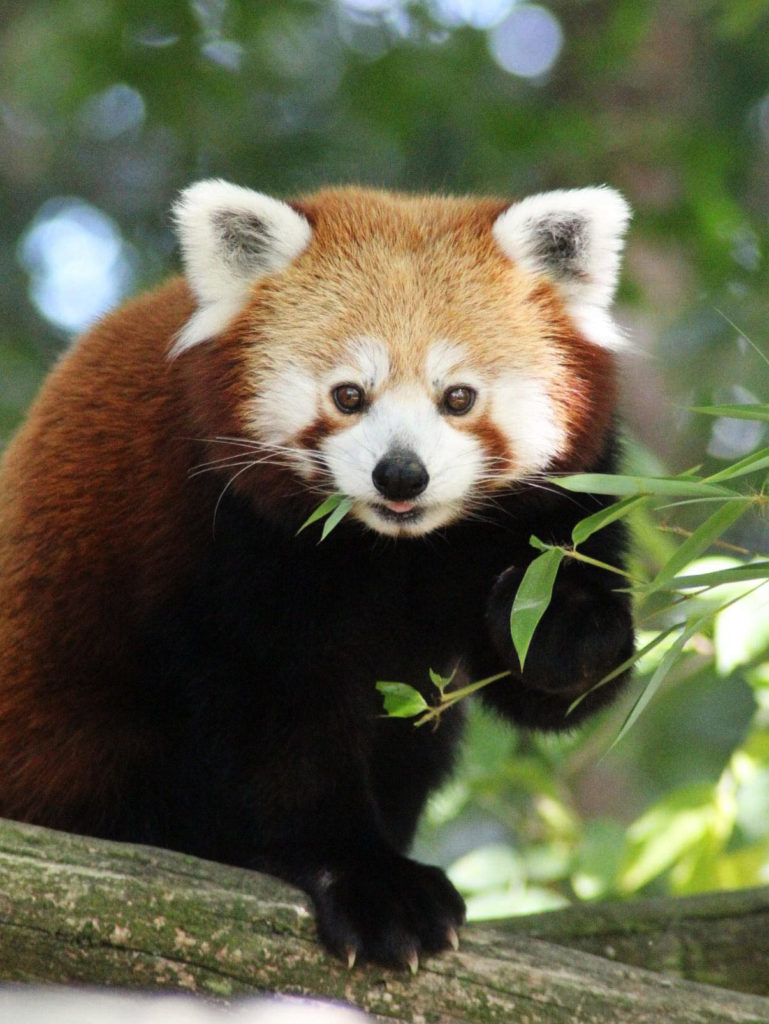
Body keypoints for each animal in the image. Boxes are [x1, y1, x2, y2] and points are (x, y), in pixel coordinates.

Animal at [0, 180, 630, 970]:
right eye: (348, 396)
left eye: (457, 397)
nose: (400, 474)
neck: (398, 548)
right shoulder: (222, 535)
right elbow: (279, 721)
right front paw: (368, 880)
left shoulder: (567, 499)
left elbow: (552, 685)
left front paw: (558, 624)